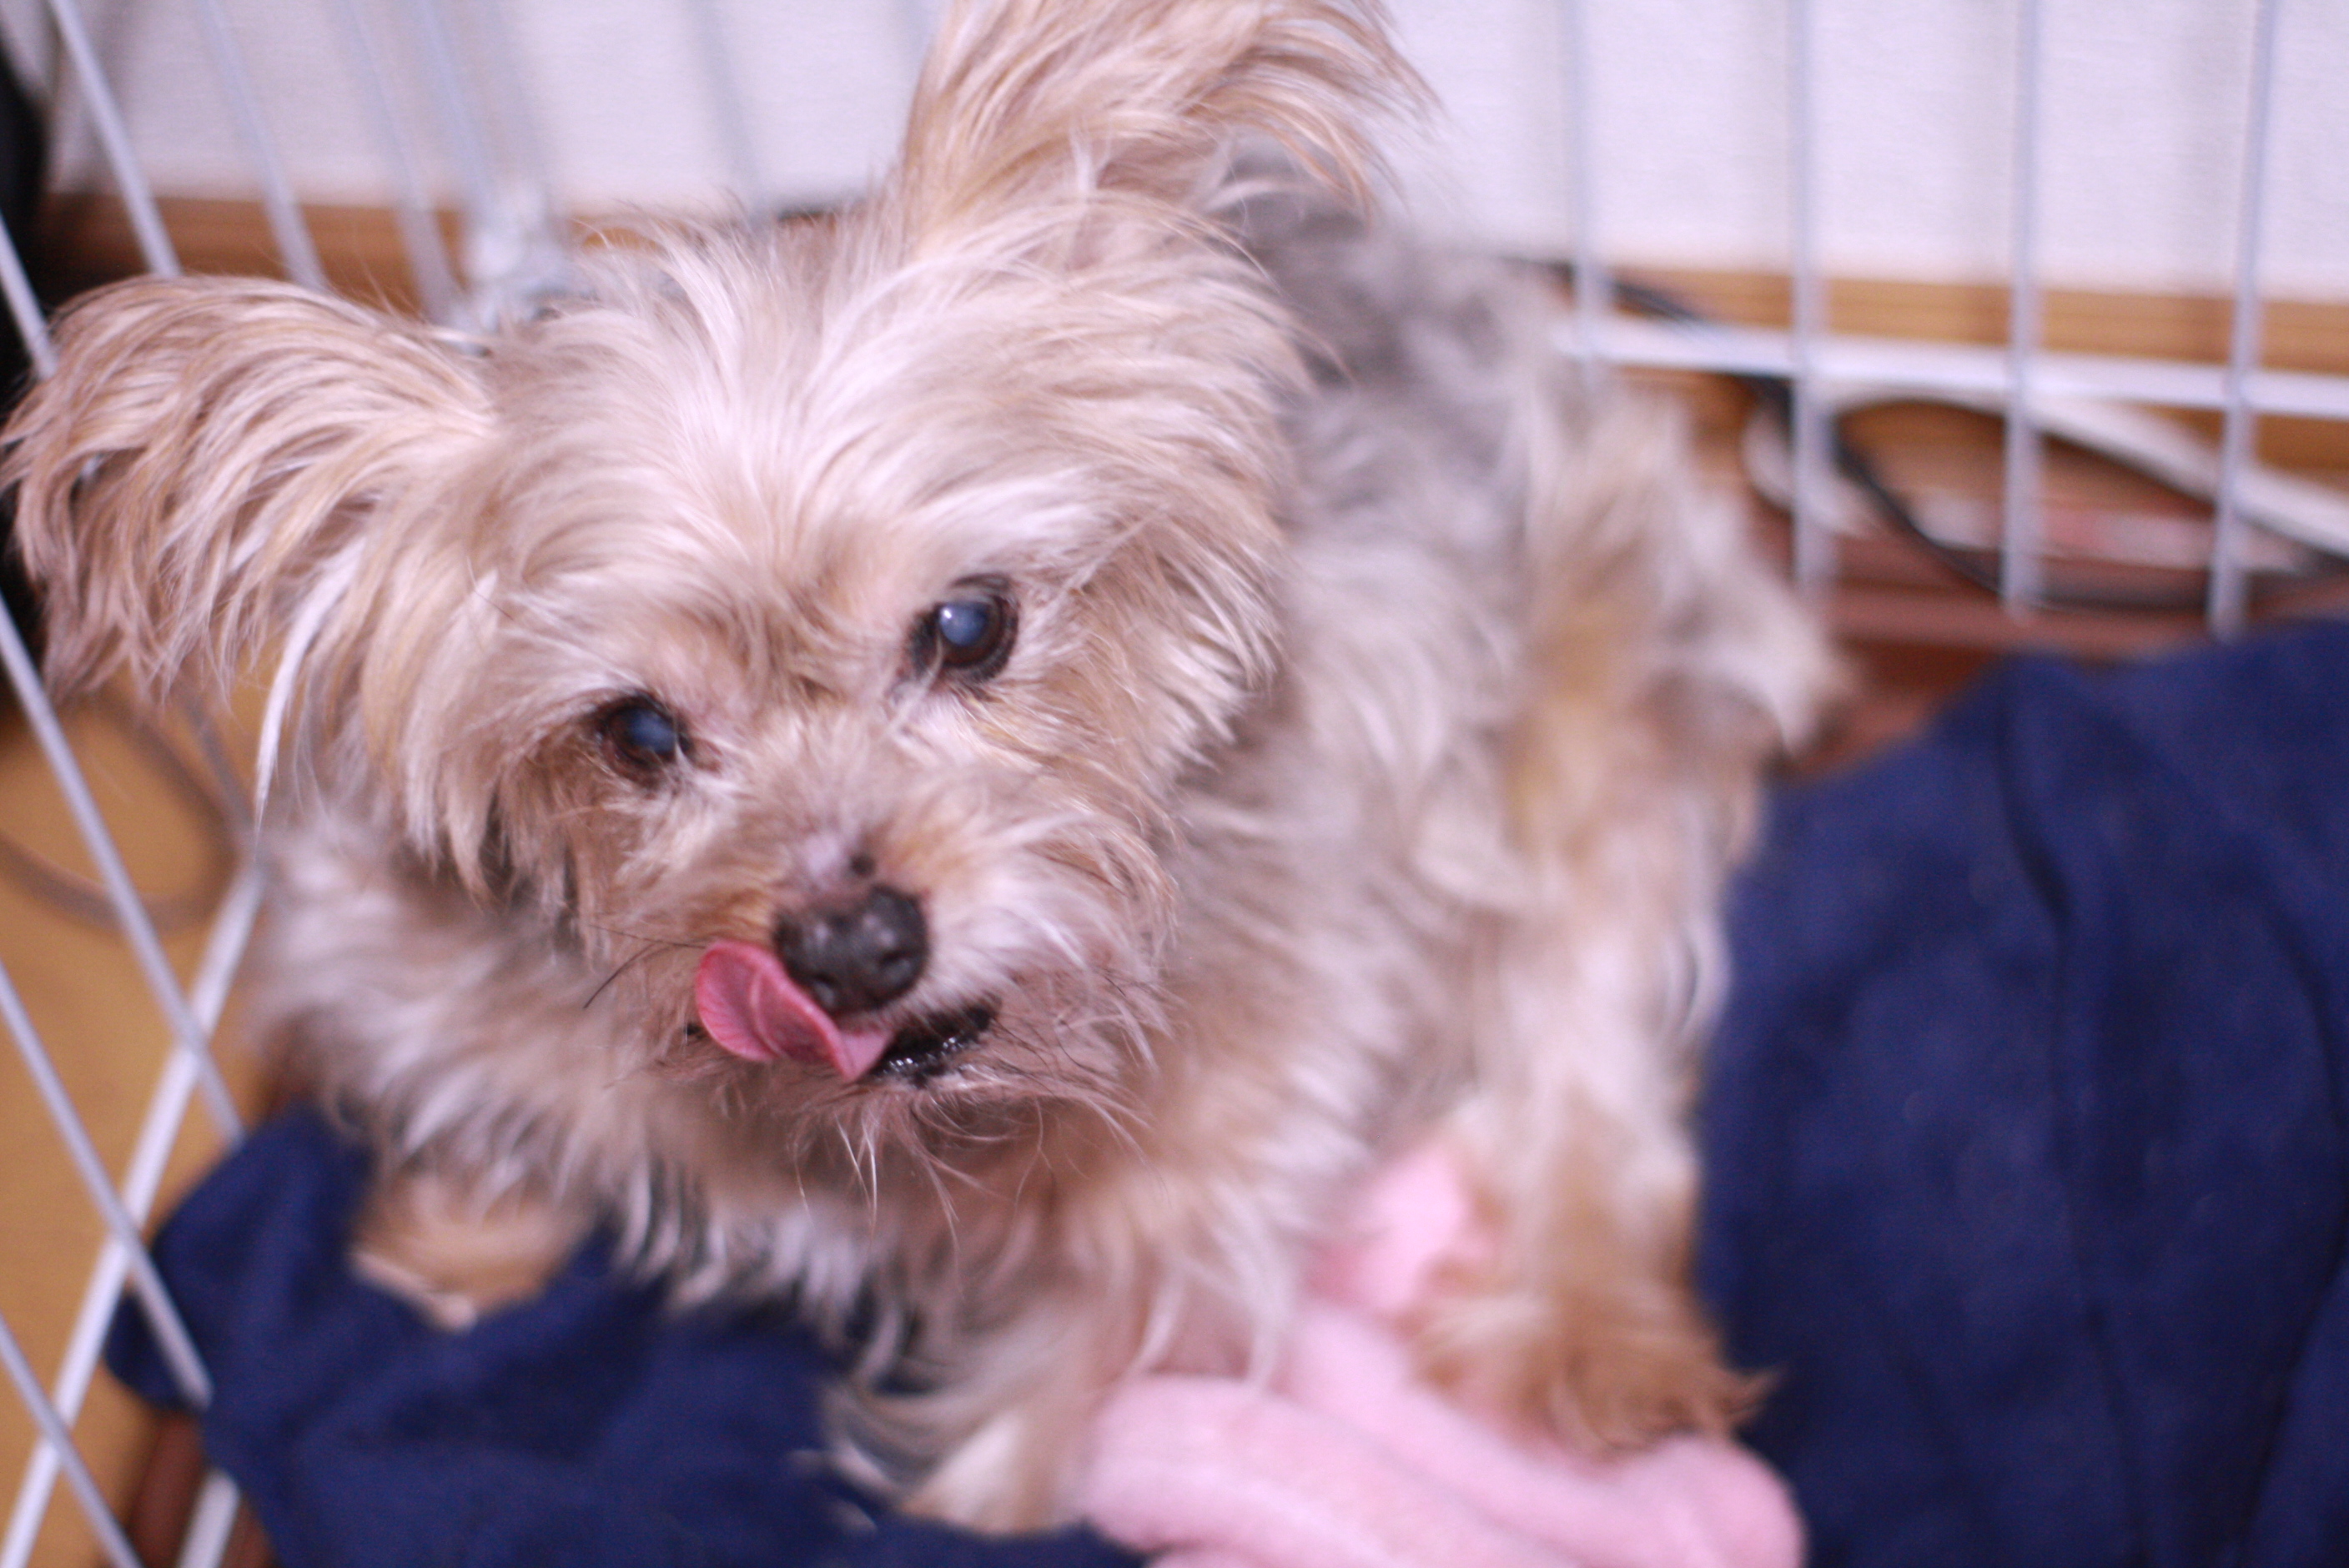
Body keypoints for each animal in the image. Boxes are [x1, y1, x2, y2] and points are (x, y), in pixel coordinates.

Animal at [5, 0, 1828, 1531]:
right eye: (638, 732)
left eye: (967, 624)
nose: (851, 945)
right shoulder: (396, 952)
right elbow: (481, 1114)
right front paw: (451, 1241)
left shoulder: (1221, 1154)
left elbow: (1045, 1408)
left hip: (1608, 704)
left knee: (1586, 1058)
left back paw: (1590, 1340)